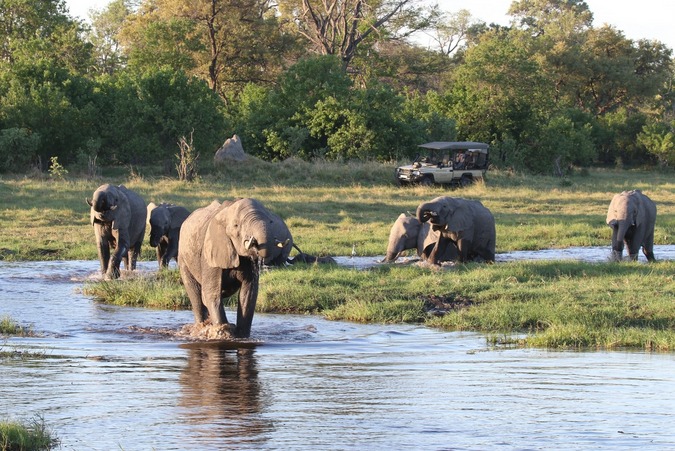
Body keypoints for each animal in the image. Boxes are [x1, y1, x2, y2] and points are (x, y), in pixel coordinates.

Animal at [180, 199, 294, 340]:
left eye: (271, 222)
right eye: (236, 225)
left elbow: (248, 294)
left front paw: (242, 335)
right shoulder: (210, 251)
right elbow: (211, 293)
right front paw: (224, 333)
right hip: (183, 258)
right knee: (196, 294)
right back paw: (200, 327)